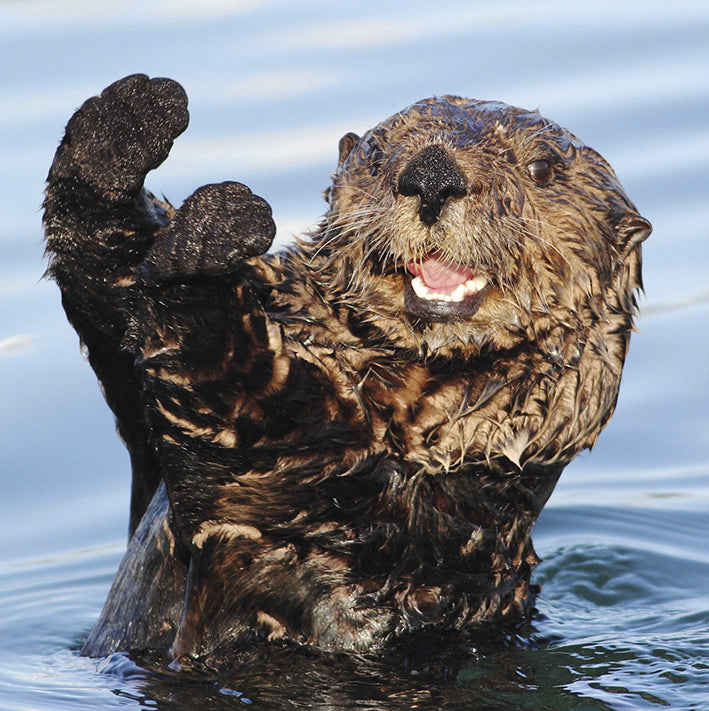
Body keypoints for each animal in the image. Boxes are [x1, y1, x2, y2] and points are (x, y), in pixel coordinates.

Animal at [42, 75, 648, 664]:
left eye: (541, 169)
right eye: (377, 154)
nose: (431, 175)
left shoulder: (332, 500)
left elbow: (236, 394)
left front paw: (208, 239)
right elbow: (113, 303)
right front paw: (125, 125)